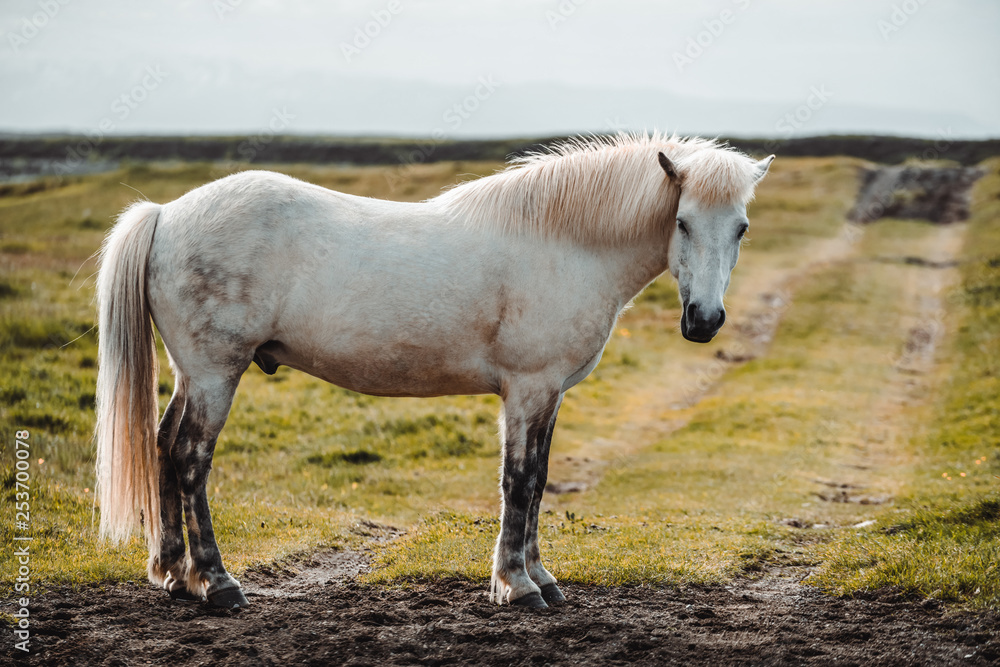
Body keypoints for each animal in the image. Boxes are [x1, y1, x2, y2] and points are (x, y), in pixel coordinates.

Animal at [95, 134, 772, 612]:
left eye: (741, 227)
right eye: (682, 222)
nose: (705, 320)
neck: (564, 244)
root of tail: (166, 213)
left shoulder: (548, 394)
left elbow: (538, 481)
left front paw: (540, 577)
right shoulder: (527, 389)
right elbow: (519, 481)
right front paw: (517, 586)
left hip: (192, 376)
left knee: (162, 445)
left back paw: (173, 574)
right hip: (215, 373)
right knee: (189, 458)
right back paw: (216, 582)